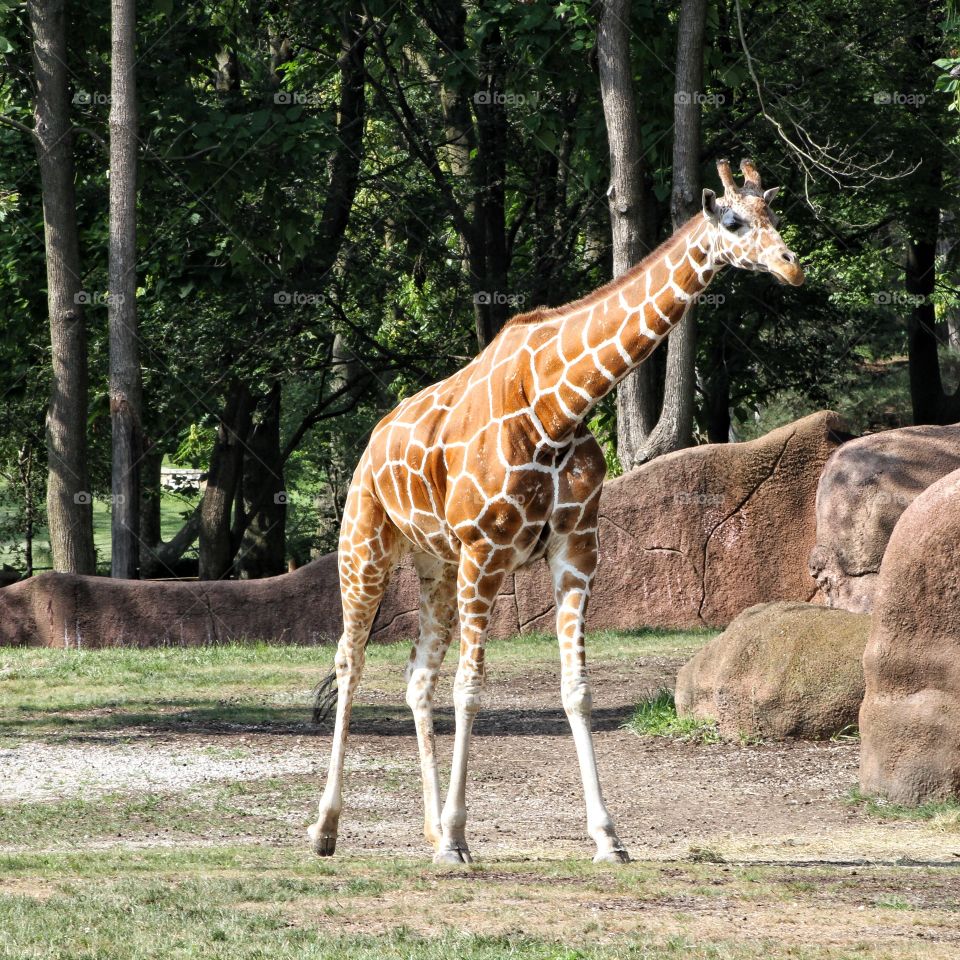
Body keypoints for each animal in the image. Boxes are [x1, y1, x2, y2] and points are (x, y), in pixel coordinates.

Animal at [308, 159, 804, 865]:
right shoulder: (486, 549)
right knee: (350, 665)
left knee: (416, 674)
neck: (559, 405)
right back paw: (327, 828)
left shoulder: (576, 549)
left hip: (436, 565)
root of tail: (371, 443)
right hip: (366, 544)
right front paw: (458, 839)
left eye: (773, 213)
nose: (793, 267)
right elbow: (471, 687)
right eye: (734, 221)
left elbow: (576, 690)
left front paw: (607, 837)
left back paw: (425, 827)